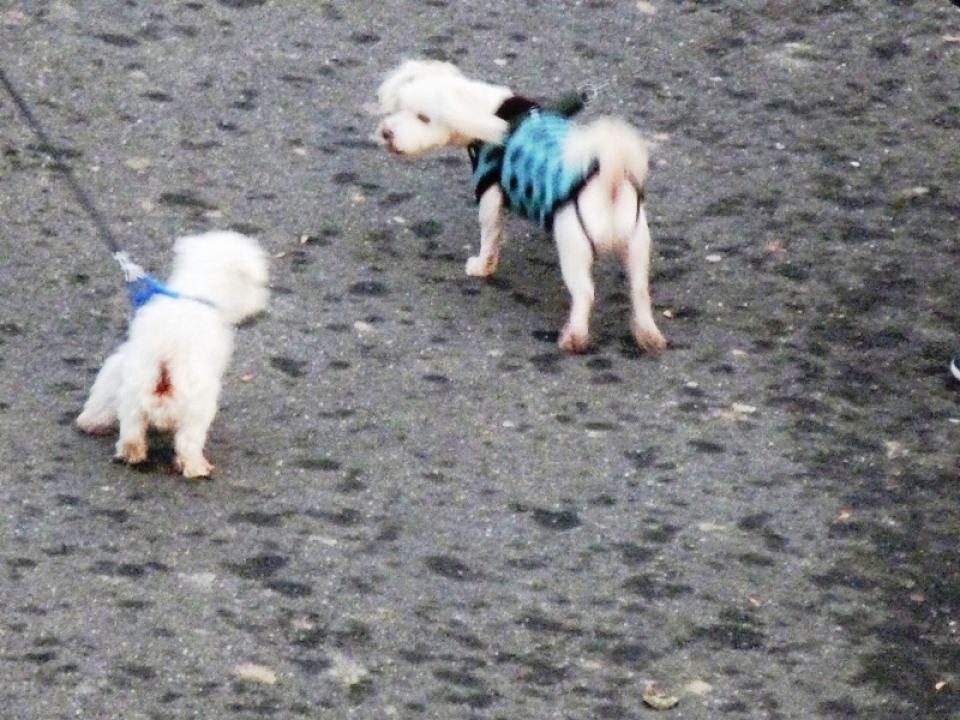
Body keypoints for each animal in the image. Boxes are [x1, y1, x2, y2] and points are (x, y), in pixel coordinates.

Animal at [76, 231, 269, 478]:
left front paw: (92, 420)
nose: (262, 302)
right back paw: (197, 467)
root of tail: (165, 361)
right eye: (256, 284)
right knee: (188, 443)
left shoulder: (121, 360)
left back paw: (130, 453)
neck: (195, 290)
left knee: (131, 433)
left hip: (134, 397)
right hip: (197, 408)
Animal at [374, 59, 666, 354]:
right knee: (640, 291)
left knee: (585, 293)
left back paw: (574, 337)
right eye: (399, 107)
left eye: (424, 117)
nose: (386, 133)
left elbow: (489, 237)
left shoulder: (489, 195)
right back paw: (648, 335)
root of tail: (610, 184)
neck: (491, 111)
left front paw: (481, 266)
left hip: (574, 247)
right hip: (637, 245)